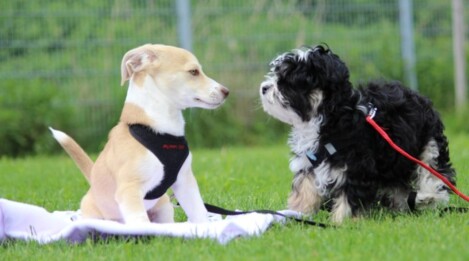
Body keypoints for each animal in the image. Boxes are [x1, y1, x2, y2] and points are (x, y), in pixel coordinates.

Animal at [49, 43, 229, 222]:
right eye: (193, 71)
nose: (226, 91)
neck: (159, 131)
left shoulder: (185, 183)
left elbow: (199, 213)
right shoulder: (129, 191)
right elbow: (141, 222)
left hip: (164, 207)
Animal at [258, 44, 456, 221]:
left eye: (287, 82)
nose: (264, 88)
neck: (329, 117)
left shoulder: (357, 165)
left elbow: (350, 196)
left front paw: (342, 222)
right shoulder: (310, 161)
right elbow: (304, 188)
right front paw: (297, 212)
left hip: (429, 142)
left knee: (434, 170)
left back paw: (428, 196)